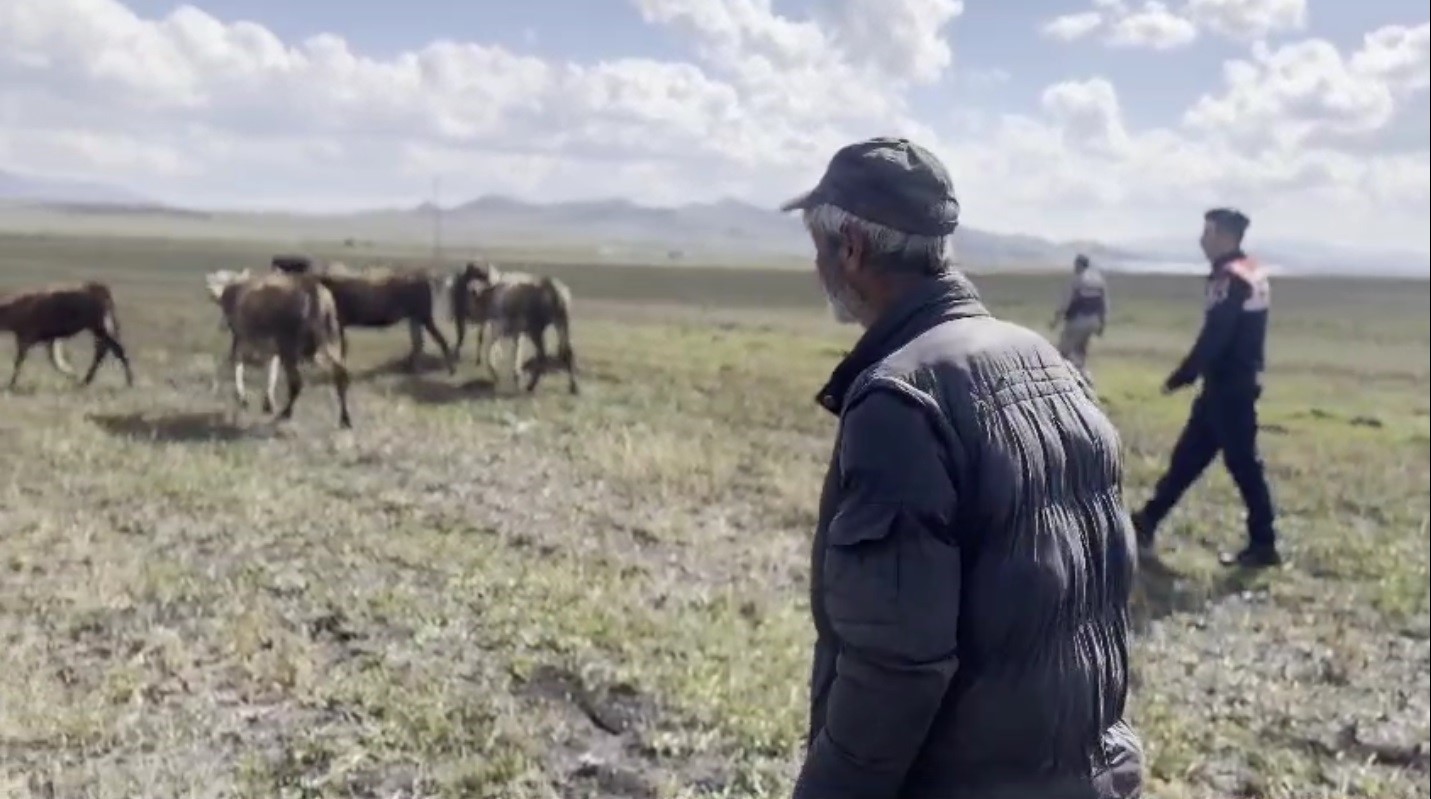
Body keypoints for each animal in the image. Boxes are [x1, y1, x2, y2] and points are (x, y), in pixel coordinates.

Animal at [0, 282, 134, 392]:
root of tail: (101, 290)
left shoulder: (25, 338)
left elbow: (19, 362)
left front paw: (11, 385)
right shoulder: (51, 340)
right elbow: (55, 360)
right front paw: (72, 374)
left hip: (99, 326)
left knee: (114, 349)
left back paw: (128, 382)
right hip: (98, 328)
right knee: (105, 349)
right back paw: (86, 381)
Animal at [204, 267, 352, 432]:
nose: (222, 325)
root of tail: (315, 294)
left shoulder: (242, 340)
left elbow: (233, 364)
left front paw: (239, 396)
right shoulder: (271, 349)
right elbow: (270, 371)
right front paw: (267, 402)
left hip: (294, 350)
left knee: (297, 383)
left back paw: (285, 413)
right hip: (330, 344)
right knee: (341, 377)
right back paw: (345, 419)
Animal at [266, 254, 449, 375]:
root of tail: (427, 277)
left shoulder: (338, 323)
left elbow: (342, 347)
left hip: (424, 315)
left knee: (438, 339)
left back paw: (449, 367)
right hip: (415, 318)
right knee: (418, 343)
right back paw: (412, 368)